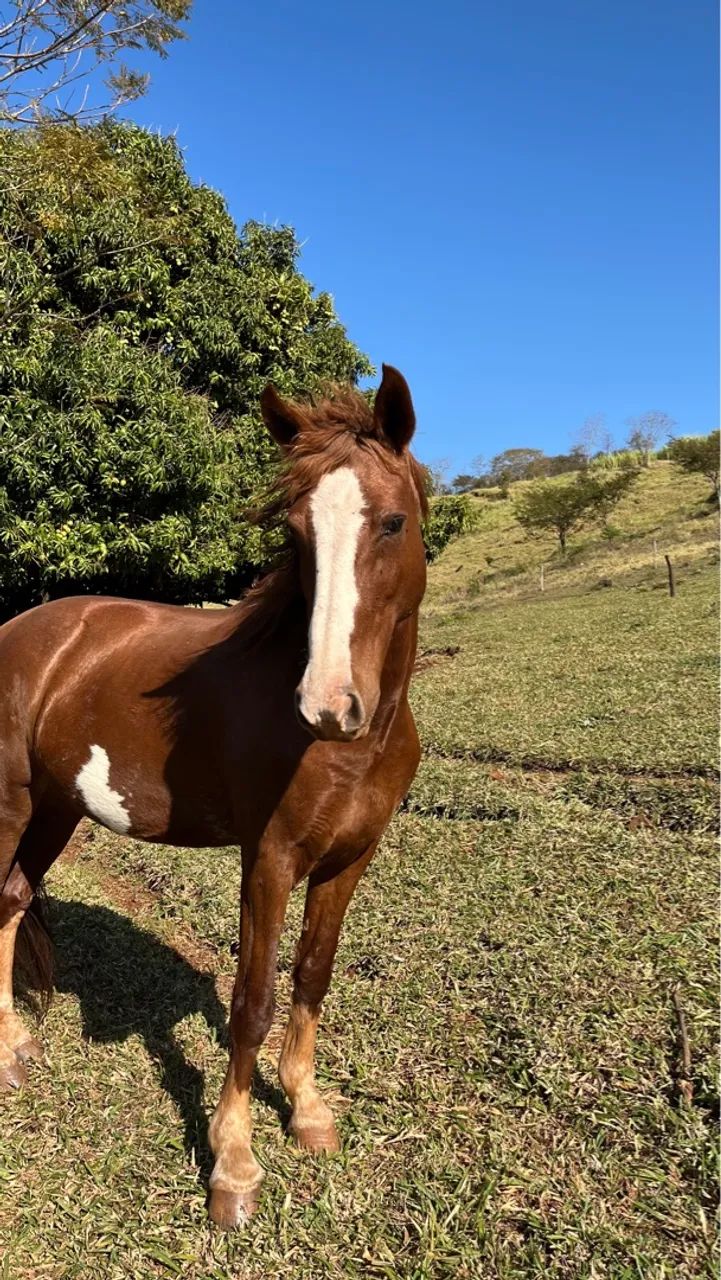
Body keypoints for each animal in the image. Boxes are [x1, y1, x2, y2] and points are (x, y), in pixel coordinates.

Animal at [0, 364, 428, 1229]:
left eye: (392, 522)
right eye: (297, 536)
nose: (327, 706)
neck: (354, 746)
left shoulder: (348, 862)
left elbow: (312, 975)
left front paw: (305, 1109)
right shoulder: (269, 860)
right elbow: (251, 1000)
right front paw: (233, 1162)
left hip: (56, 810)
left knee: (17, 899)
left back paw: (21, 1046)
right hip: (12, 801)